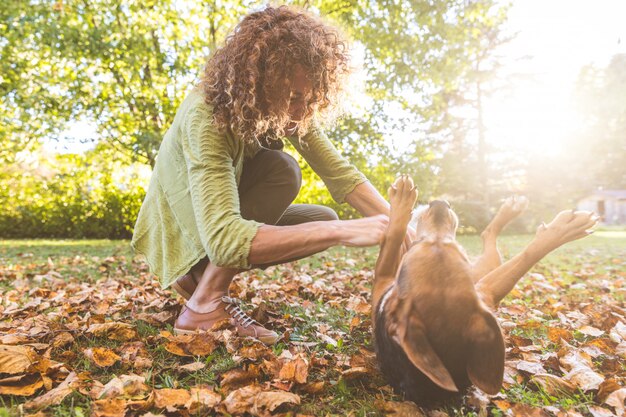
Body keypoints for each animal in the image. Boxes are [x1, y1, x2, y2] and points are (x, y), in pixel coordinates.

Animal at [370, 174, 596, 404]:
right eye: (419, 245)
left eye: (456, 249)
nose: (440, 204)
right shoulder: (485, 291)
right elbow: (529, 254)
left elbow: (393, 235)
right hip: (482, 275)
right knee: (489, 238)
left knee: (489, 237)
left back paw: (512, 208)